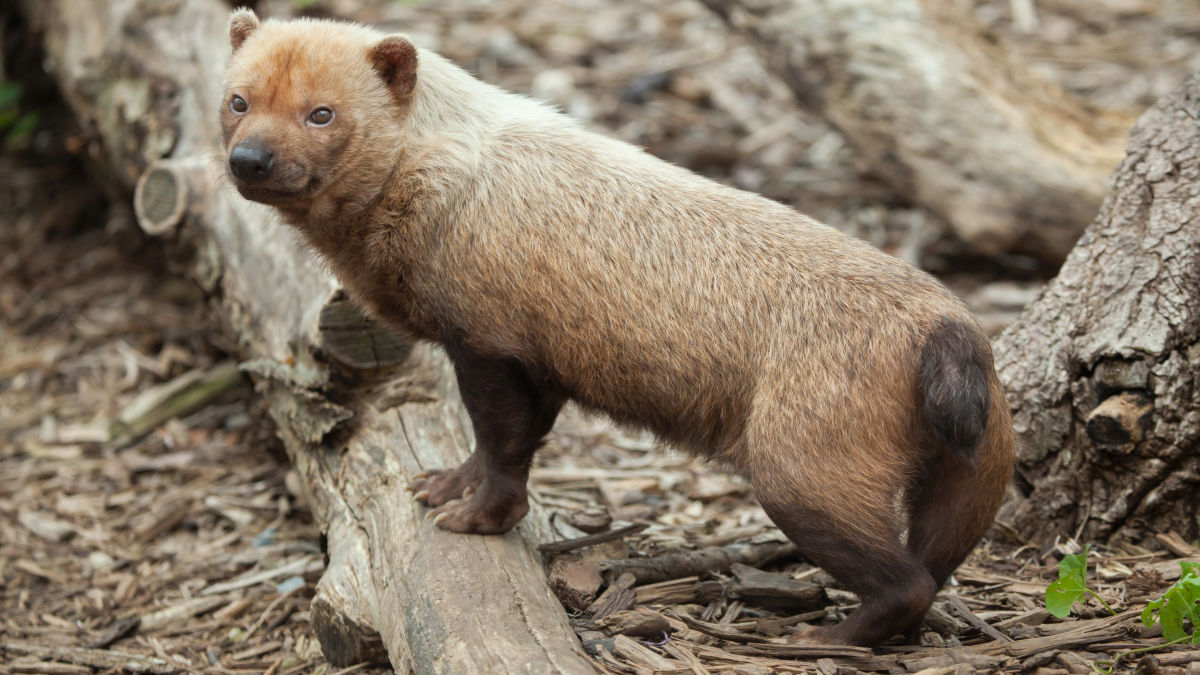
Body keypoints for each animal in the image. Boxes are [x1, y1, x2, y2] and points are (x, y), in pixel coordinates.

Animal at [223, 10, 1012, 648]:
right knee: (937, 567)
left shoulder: (488, 340)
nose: (248, 159)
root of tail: (947, 333)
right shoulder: (539, 360)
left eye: (322, 113)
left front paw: (477, 517)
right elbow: (506, 440)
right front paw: (444, 485)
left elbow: (504, 442)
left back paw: (821, 639)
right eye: (237, 99)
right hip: (967, 482)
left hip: (800, 473)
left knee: (907, 582)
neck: (446, 174)